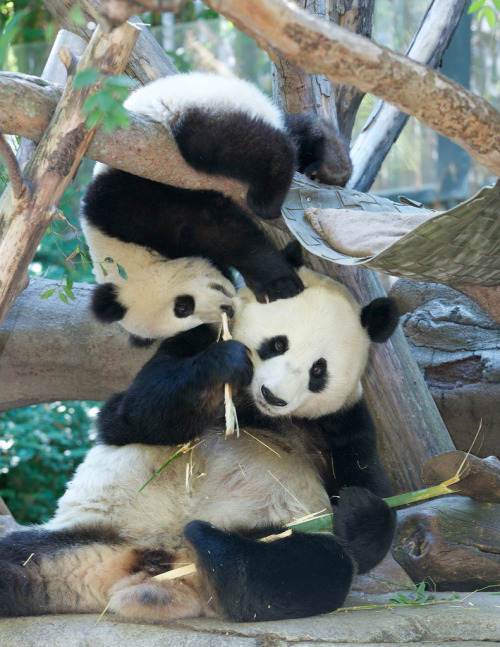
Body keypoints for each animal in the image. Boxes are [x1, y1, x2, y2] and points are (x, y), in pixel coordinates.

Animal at [0, 247, 398, 624]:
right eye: (277, 344)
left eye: (318, 370)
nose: (274, 396)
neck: (258, 413)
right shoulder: (193, 339)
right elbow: (130, 413)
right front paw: (225, 364)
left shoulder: (342, 421)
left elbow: (370, 490)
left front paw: (358, 508)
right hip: (89, 534)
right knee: (16, 556)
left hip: (278, 535)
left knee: (311, 567)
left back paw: (210, 542)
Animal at [80, 71, 352, 344]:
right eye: (188, 320)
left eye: (182, 307)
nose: (227, 311)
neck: (119, 248)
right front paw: (263, 285)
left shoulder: (125, 203)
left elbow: (212, 228)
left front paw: (278, 283)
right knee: (295, 129)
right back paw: (329, 165)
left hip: (185, 114)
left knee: (224, 142)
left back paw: (272, 193)